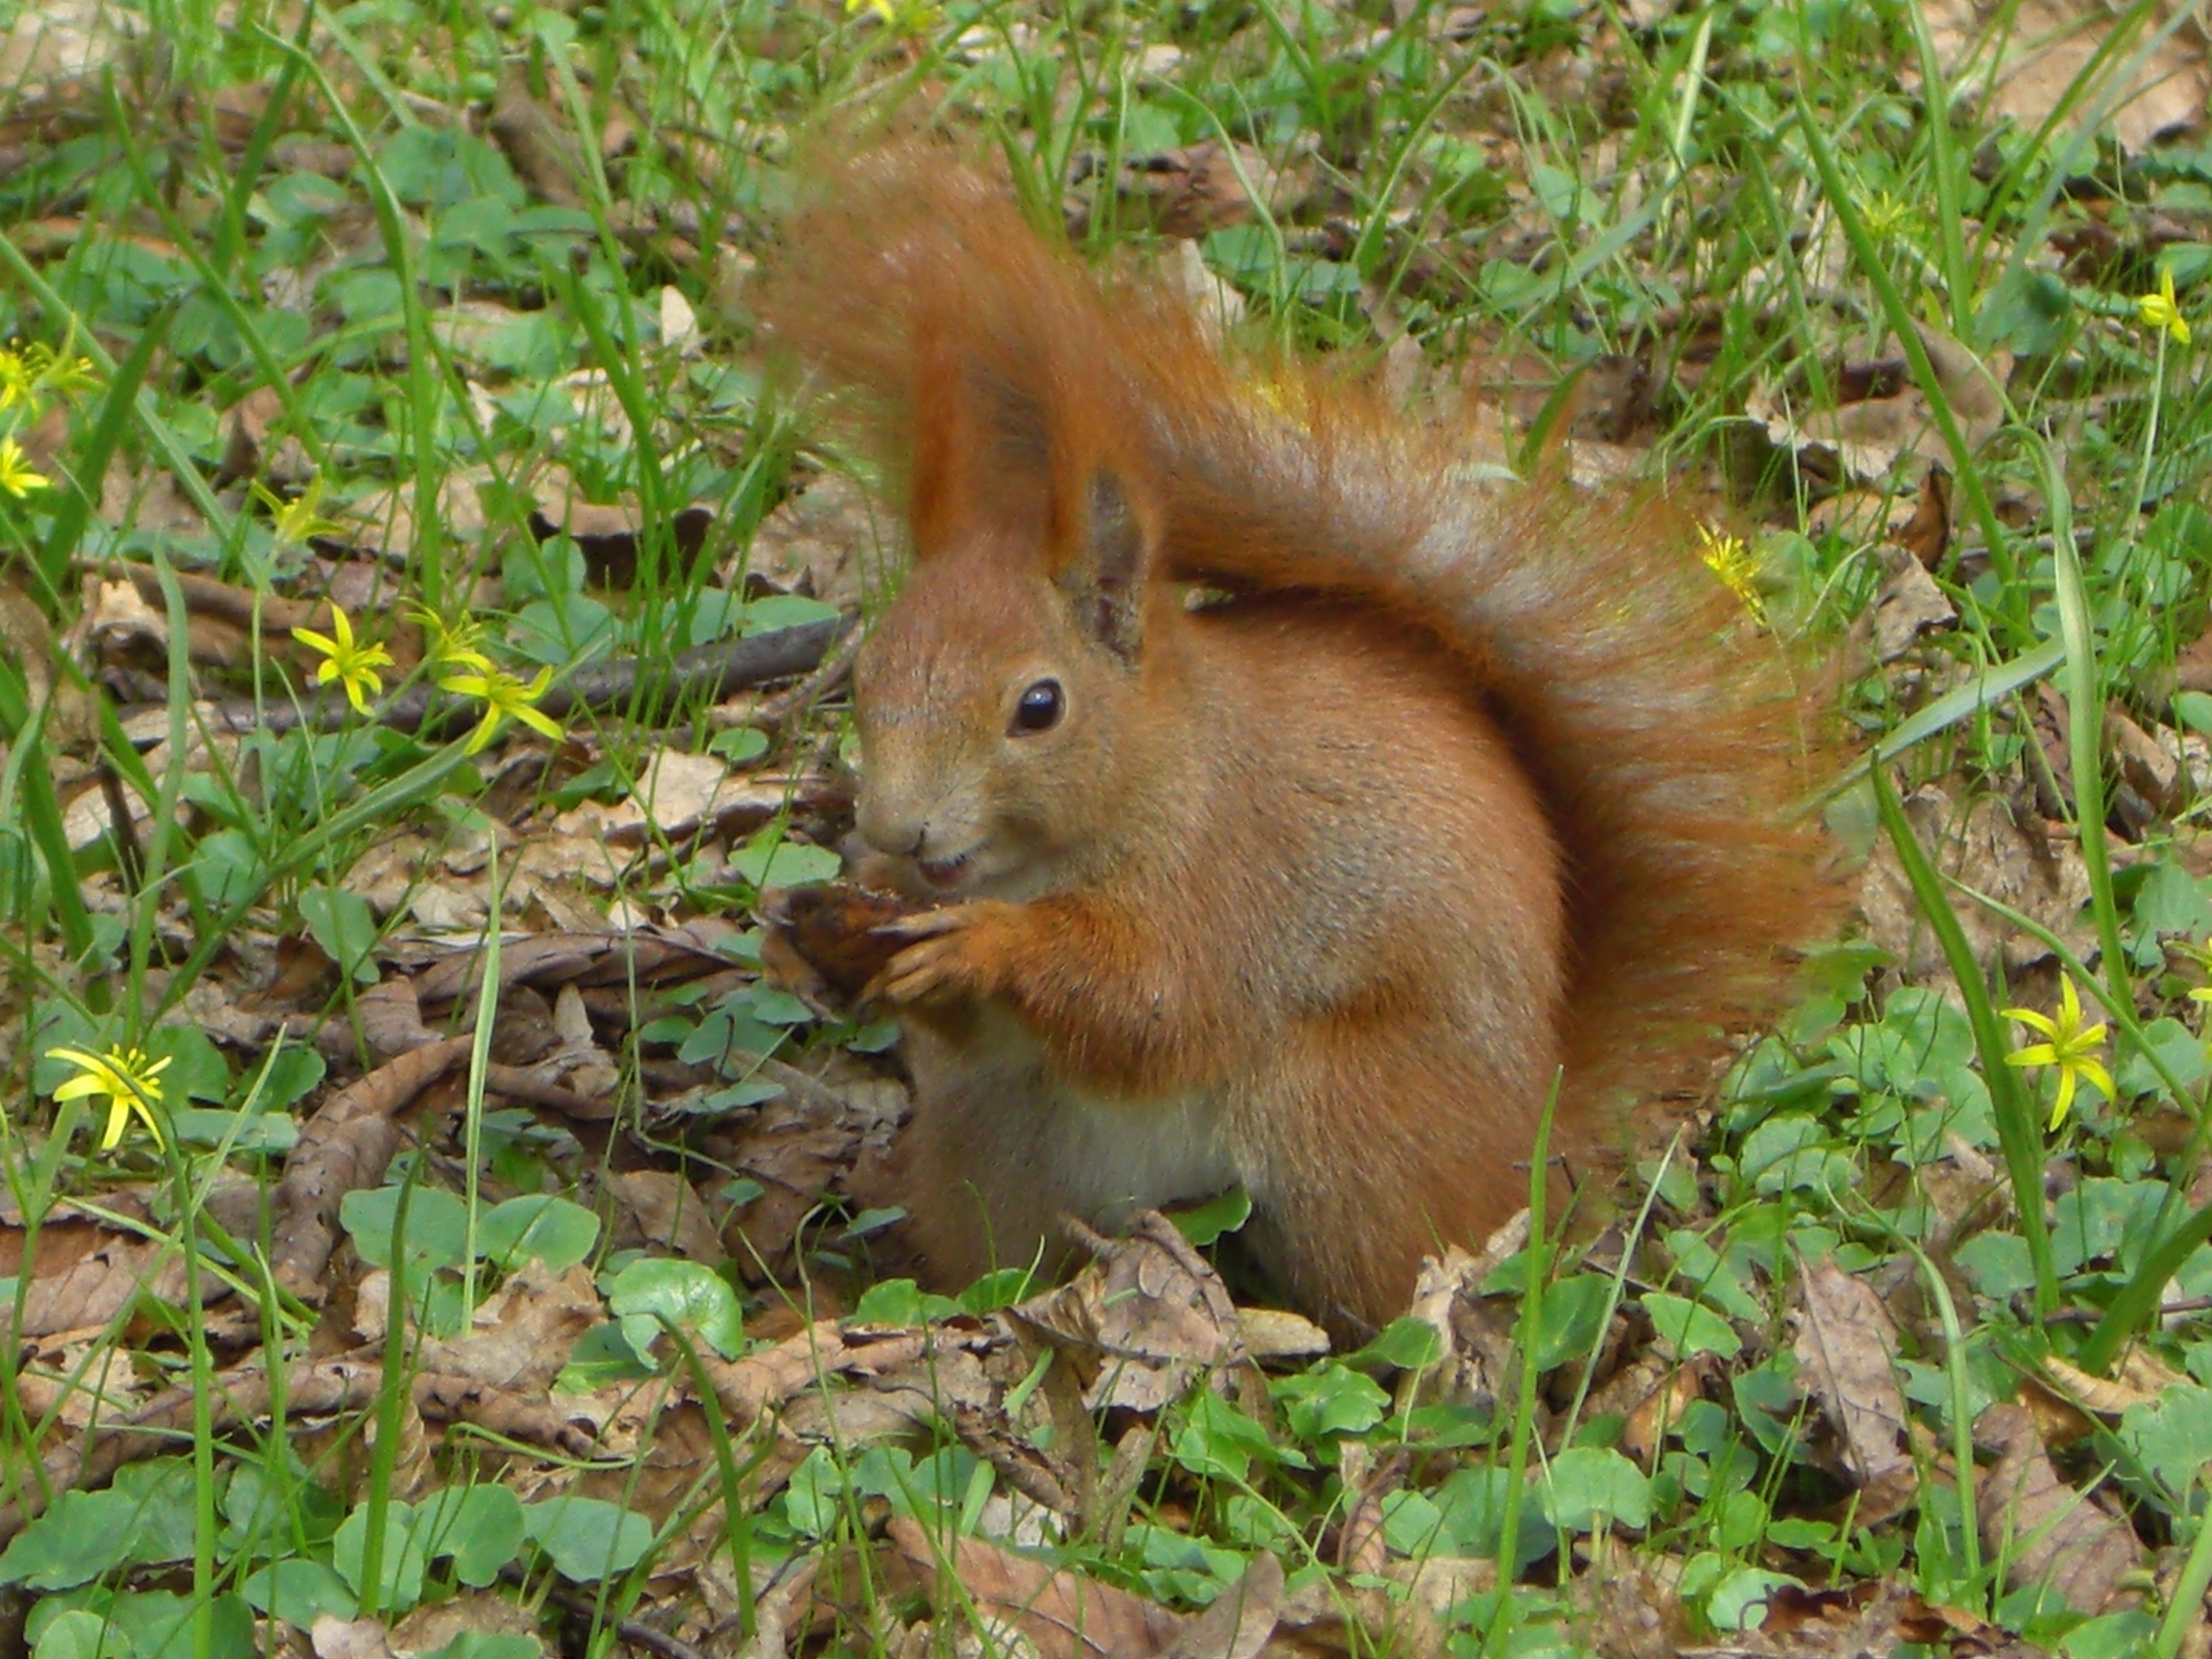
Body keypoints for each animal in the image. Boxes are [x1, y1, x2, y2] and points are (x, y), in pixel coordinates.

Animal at [752, 146, 1840, 1336]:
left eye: (1038, 707)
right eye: (868, 675)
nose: (895, 832)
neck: (1150, 777)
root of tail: (1533, 1149)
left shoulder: (1228, 877)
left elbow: (1159, 1004)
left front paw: (987, 947)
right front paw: (842, 935)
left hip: (1341, 1128)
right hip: (1000, 1152)